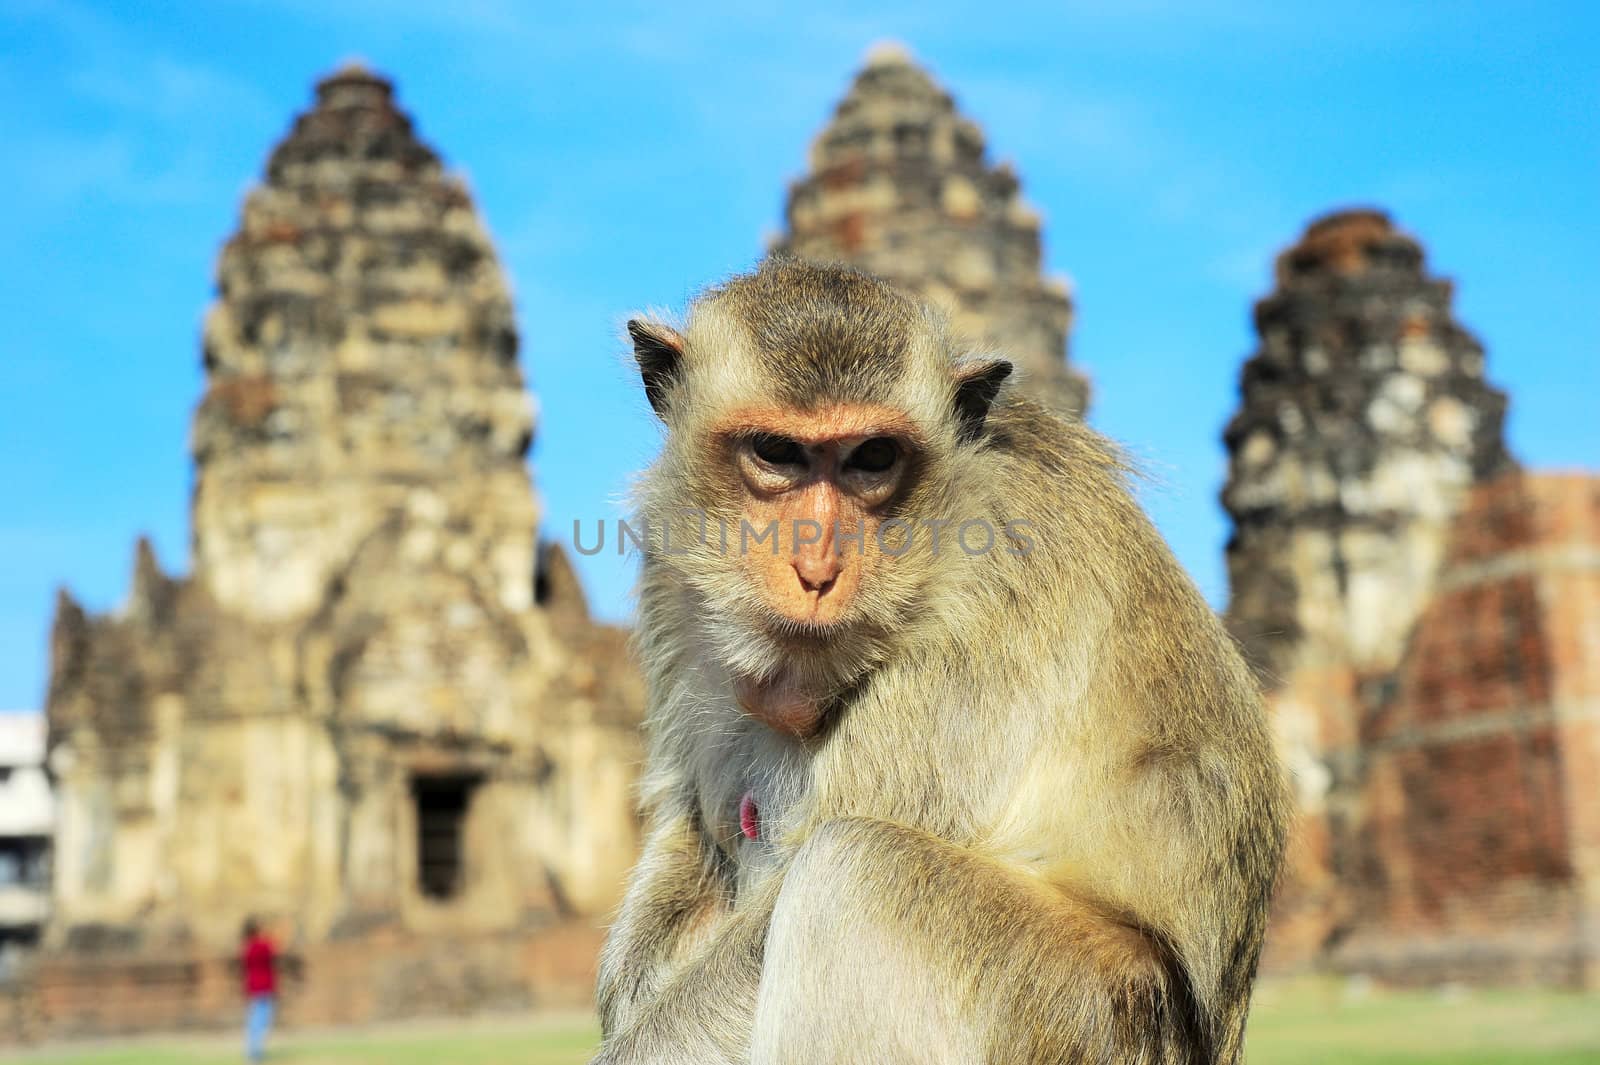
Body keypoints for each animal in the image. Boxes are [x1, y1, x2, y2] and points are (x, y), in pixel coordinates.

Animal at [598, 259, 1286, 1061]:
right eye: (776, 452)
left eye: (873, 458)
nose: (817, 569)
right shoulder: (669, 572)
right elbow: (693, 817)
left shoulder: (998, 583)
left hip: (1077, 1010)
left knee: (856, 869)